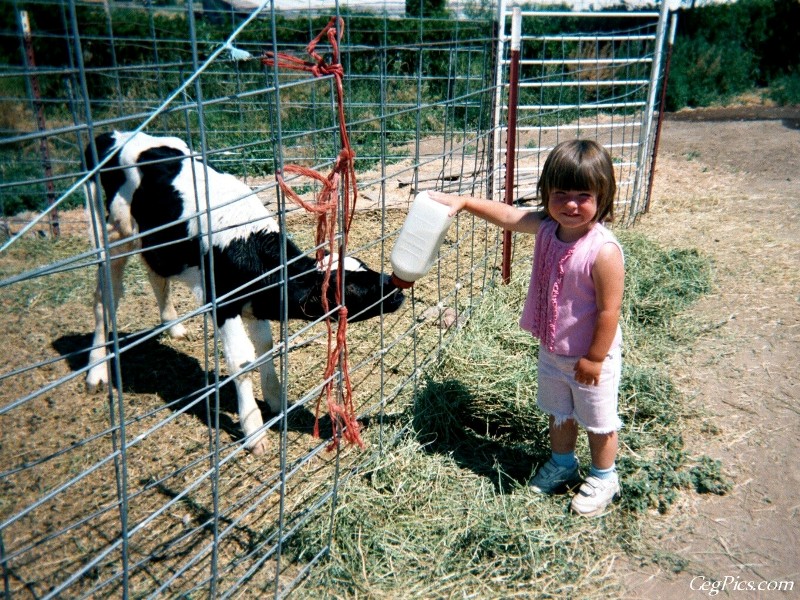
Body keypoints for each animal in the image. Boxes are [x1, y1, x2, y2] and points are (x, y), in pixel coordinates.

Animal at [84, 131, 404, 454]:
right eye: (353, 288)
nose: (395, 290)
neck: (248, 243)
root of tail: (110, 135)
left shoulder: (256, 301)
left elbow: (265, 347)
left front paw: (276, 400)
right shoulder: (223, 303)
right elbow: (242, 360)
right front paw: (254, 430)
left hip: (158, 245)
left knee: (155, 276)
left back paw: (173, 328)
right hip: (111, 236)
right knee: (103, 301)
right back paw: (96, 372)